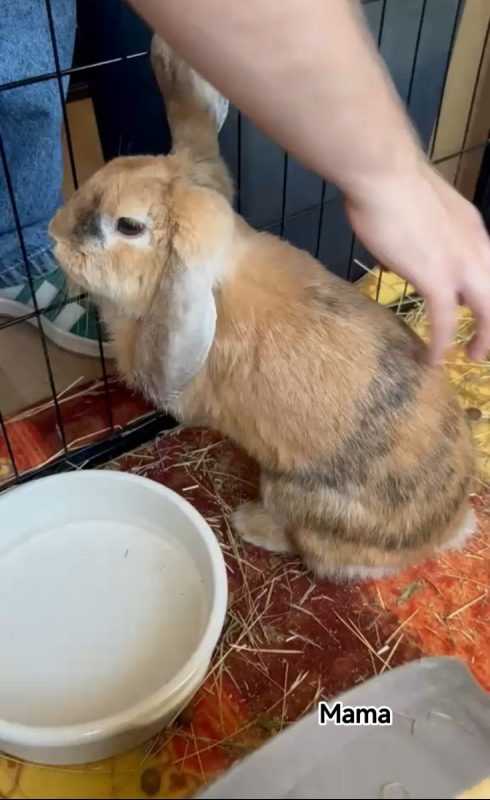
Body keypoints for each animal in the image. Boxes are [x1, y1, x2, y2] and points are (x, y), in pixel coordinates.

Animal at [49, 34, 477, 582]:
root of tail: (446, 529)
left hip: (294, 494)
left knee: (310, 549)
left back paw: (250, 522)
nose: (53, 235)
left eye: (128, 226)